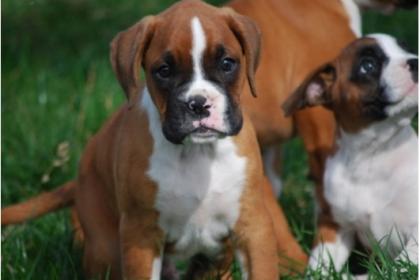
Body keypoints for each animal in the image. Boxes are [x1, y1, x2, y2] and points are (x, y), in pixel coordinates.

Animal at [284, 33, 418, 276]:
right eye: (368, 65)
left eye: (408, 50)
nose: (416, 62)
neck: (373, 155)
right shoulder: (334, 228)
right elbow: (319, 269)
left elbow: (397, 268)